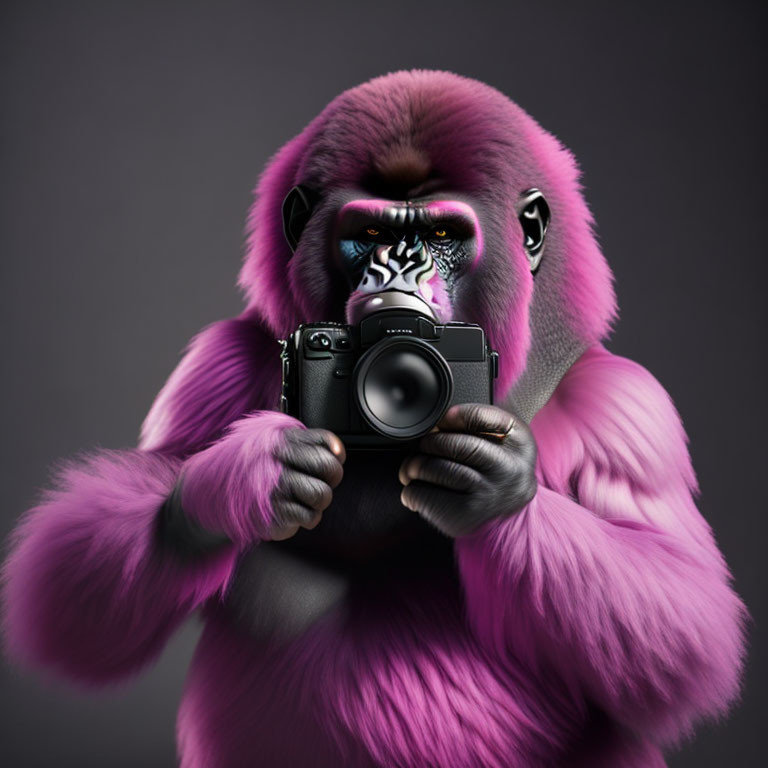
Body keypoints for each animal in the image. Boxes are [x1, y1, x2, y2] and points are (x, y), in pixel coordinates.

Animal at [0, 69, 744, 764]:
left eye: (441, 234)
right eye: (367, 234)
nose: (396, 272)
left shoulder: (623, 407)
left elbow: (686, 619)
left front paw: (496, 489)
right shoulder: (218, 364)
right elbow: (73, 592)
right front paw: (238, 480)